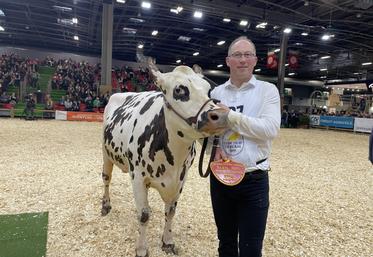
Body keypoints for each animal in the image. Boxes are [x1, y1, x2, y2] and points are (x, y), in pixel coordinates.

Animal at [101, 62, 228, 256]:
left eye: (208, 90)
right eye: (179, 90)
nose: (220, 115)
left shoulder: (181, 178)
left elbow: (170, 211)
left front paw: (167, 241)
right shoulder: (137, 176)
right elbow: (143, 215)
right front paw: (141, 248)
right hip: (106, 154)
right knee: (106, 179)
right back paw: (106, 205)